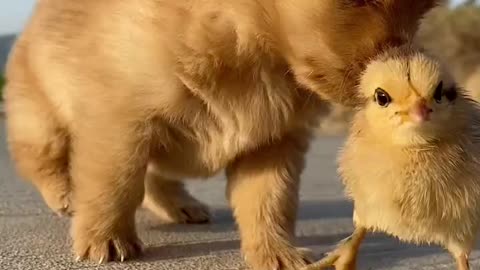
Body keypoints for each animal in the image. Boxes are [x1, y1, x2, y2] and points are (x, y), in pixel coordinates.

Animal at [3, 0, 438, 268]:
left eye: (423, 8)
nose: (398, 70)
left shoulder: (274, 142)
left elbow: (269, 201)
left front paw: (275, 253)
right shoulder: (121, 119)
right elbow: (115, 182)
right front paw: (104, 238)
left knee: (157, 175)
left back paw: (182, 205)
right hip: (40, 115)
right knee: (41, 157)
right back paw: (64, 193)